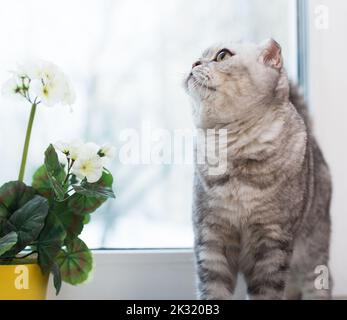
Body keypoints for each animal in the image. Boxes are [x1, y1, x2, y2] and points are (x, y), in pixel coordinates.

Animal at [186, 40, 334, 300]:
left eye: (222, 55)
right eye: (198, 57)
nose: (193, 63)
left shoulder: (272, 242)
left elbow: (266, 292)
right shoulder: (211, 237)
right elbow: (212, 290)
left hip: (313, 254)